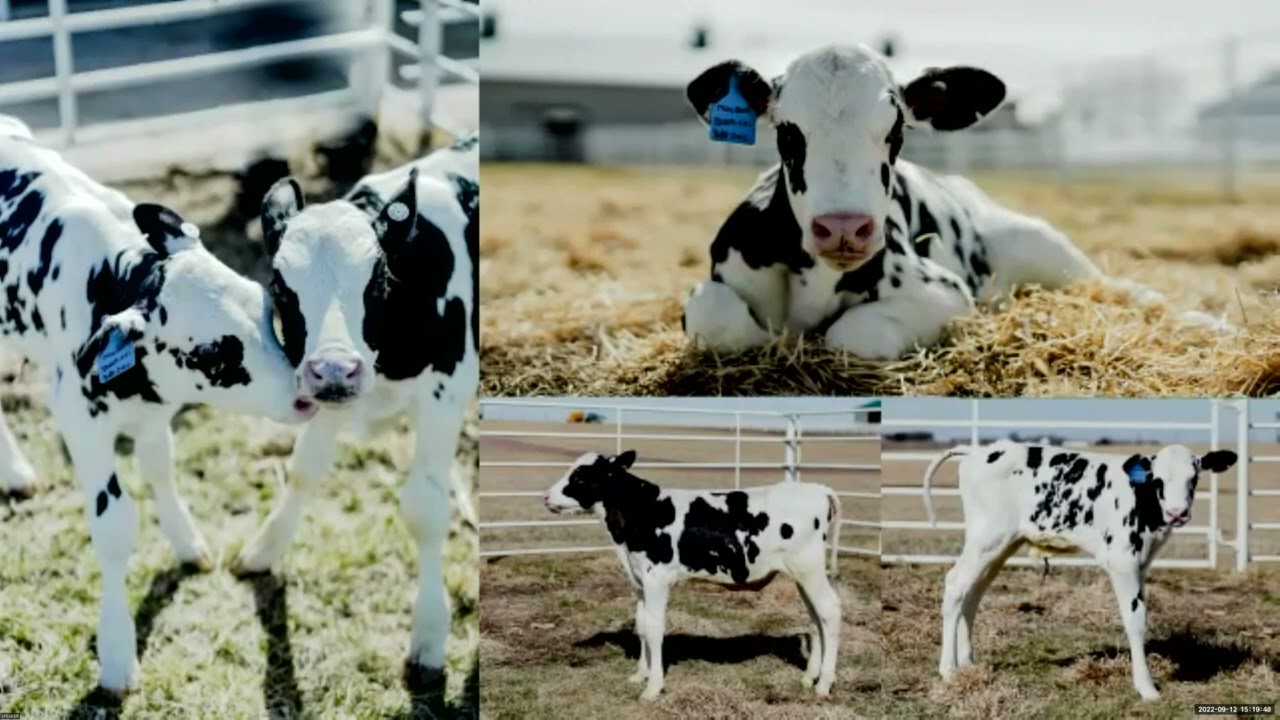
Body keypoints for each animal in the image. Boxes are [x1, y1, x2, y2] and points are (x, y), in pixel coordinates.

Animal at [0, 116, 319, 694]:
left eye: (266, 308)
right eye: (212, 353)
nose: (305, 392)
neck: (113, 280)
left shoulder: (154, 416)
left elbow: (162, 471)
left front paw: (189, 545)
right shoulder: (78, 419)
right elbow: (115, 524)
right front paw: (117, 653)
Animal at [232, 132, 479, 682]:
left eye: (379, 279)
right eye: (279, 286)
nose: (335, 369)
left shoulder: (445, 391)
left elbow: (425, 508)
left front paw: (429, 635)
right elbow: (304, 469)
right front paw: (264, 548)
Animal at [544, 450, 842, 700]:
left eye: (579, 476)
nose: (545, 497)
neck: (640, 513)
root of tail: (818, 489)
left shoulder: (656, 579)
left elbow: (655, 628)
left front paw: (653, 687)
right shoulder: (640, 580)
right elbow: (642, 625)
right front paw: (640, 675)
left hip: (808, 567)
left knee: (829, 610)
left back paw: (824, 684)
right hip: (802, 574)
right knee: (815, 617)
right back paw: (809, 677)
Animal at [680, 43, 1225, 360]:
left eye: (895, 130)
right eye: (788, 131)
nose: (843, 227)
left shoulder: (944, 293)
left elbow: (853, 335)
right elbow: (715, 317)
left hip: (1043, 245)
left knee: (1117, 288)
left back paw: (1202, 320)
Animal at [921, 440, 1237, 699]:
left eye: (1194, 478)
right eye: (1157, 479)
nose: (1177, 513)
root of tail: (980, 451)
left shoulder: (1141, 564)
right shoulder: (1122, 561)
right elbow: (1135, 620)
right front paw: (1146, 687)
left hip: (999, 545)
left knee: (974, 592)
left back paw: (968, 664)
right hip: (987, 537)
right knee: (956, 584)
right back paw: (948, 670)